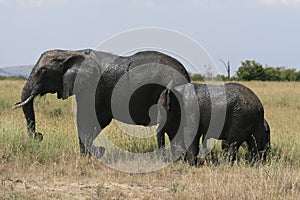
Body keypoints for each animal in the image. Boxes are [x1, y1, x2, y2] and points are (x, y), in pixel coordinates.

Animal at [13, 49, 190, 157]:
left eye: (42, 71)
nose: (39, 135)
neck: (72, 52)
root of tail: (186, 75)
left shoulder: (93, 88)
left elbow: (89, 118)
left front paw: (90, 155)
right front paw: (92, 154)